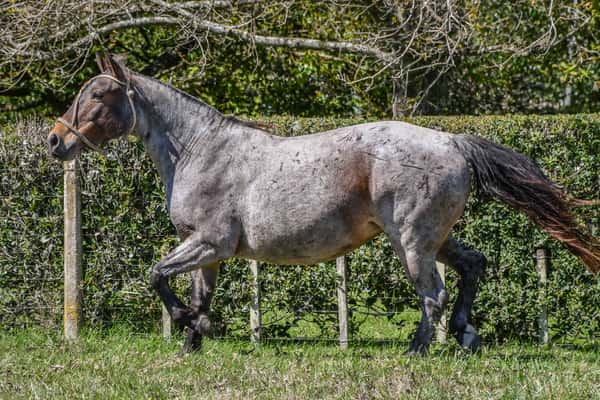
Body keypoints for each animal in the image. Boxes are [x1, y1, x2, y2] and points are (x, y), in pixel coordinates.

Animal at [47, 53, 600, 354]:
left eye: (98, 95)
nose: (56, 141)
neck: (199, 149)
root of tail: (452, 141)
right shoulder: (209, 252)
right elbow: (197, 295)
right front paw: (192, 338)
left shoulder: (209, 243)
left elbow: (156, 275)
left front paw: (186, 324)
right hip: (434, 239)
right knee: (473, 265)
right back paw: (467, 337)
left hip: (412, 242)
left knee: (433, 294)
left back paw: (417, 350)